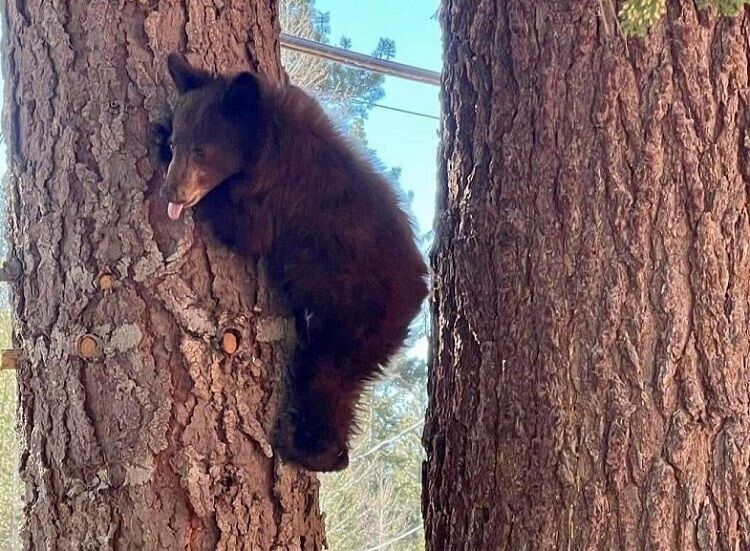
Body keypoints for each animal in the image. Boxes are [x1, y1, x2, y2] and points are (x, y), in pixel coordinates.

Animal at [152, 54, 428, 472]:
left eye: (202, 150)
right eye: (178, 142)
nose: (171, 191)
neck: (267, 140)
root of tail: (420, 290)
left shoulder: (274, 196)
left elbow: (246, 233)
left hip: (356, 315)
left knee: (327, 374)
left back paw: (305, 447)